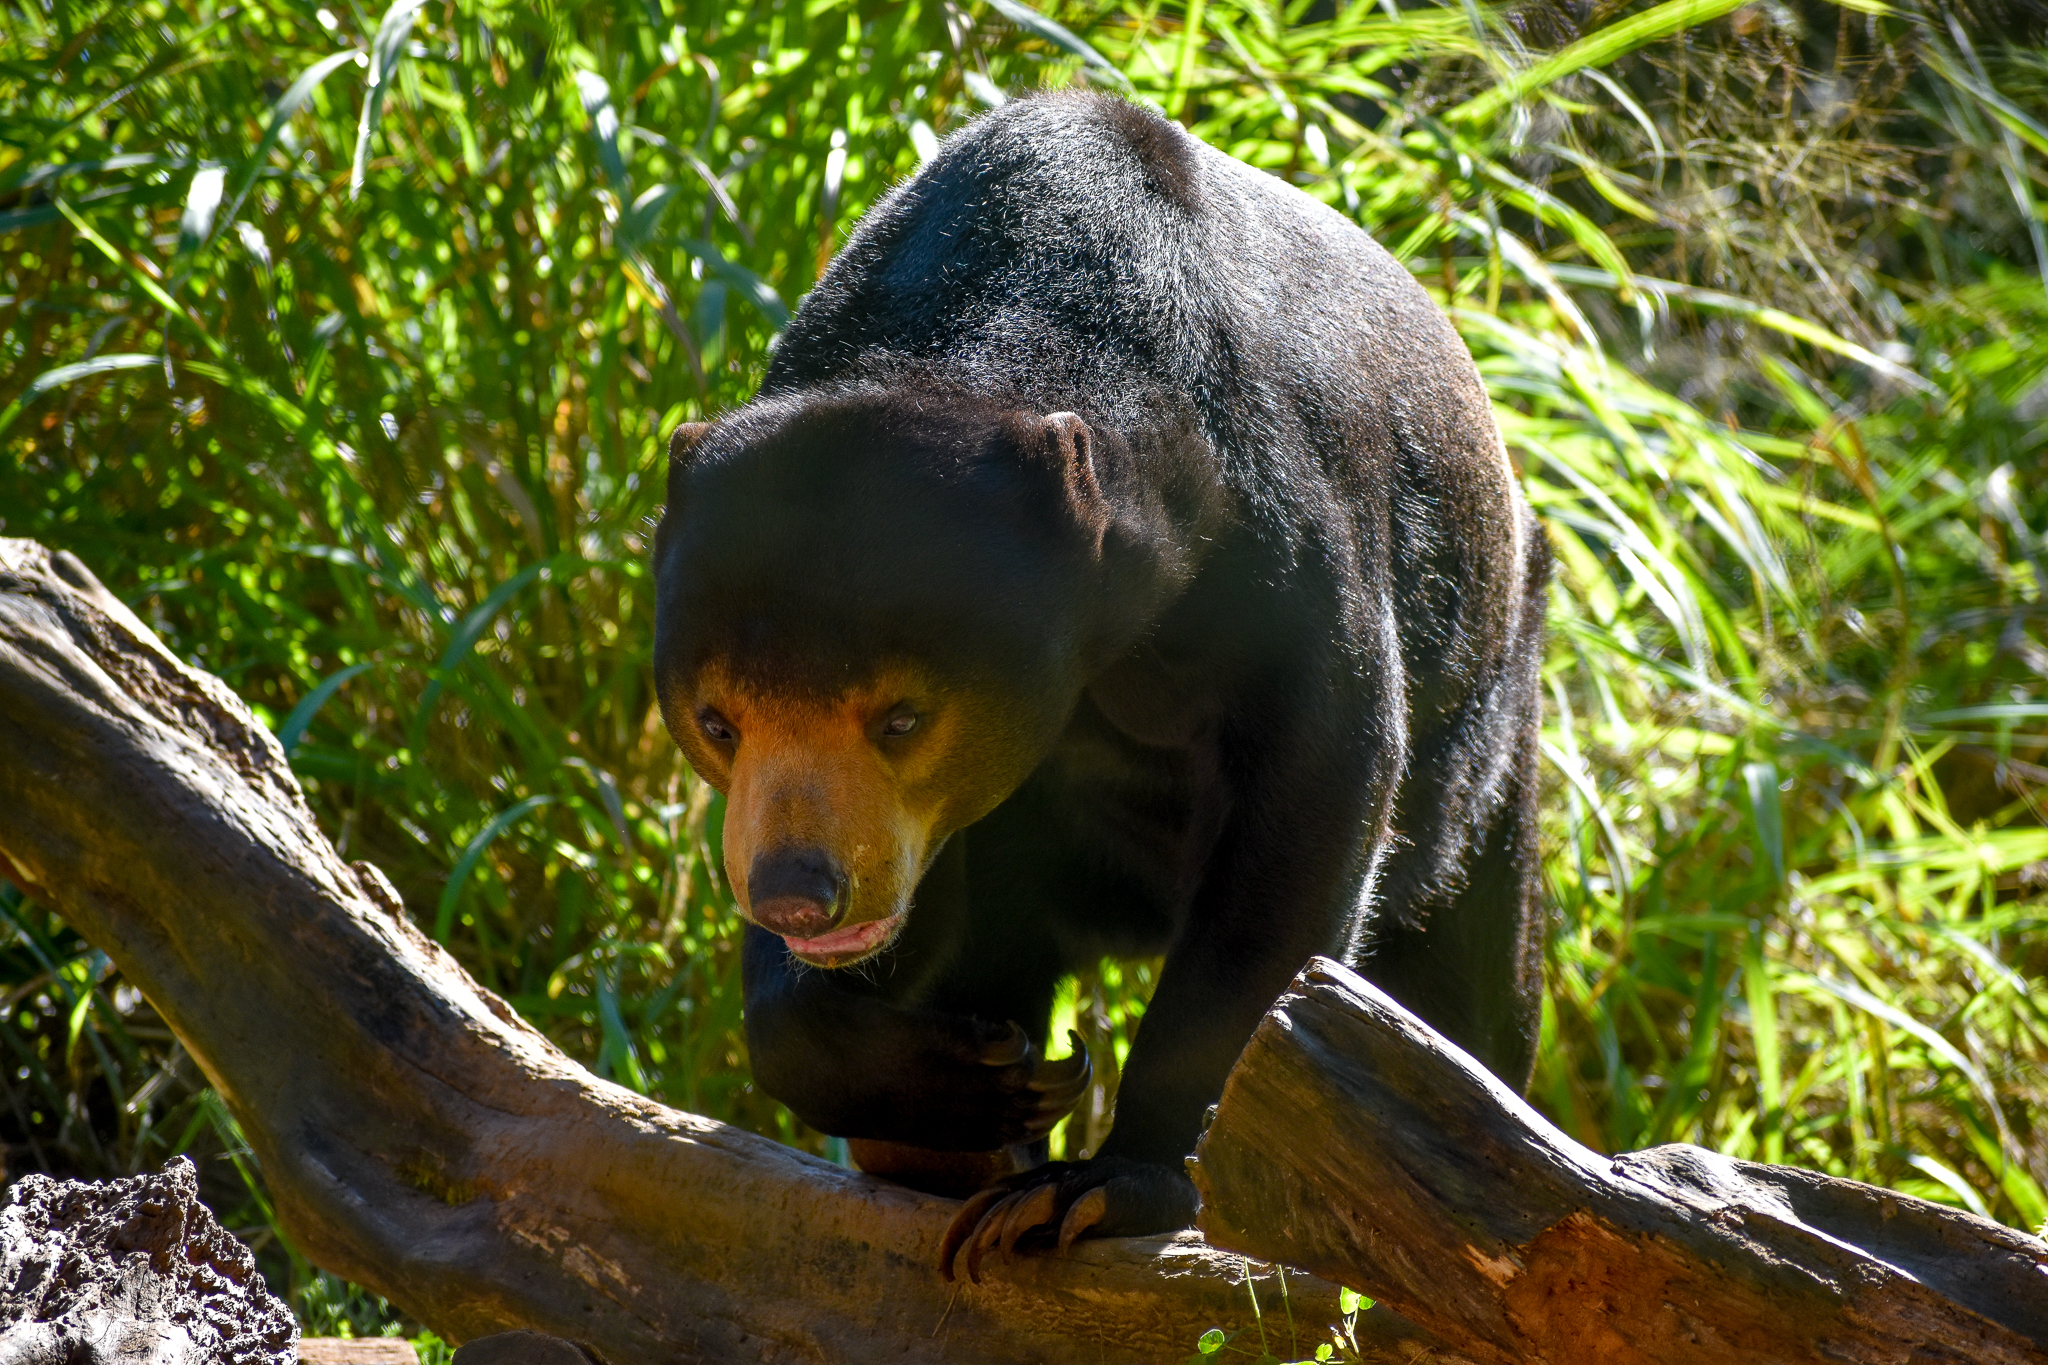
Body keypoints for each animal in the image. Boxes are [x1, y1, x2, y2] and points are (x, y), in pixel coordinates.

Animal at [651, 90, 1549, 1279]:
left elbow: (1307, 827)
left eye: (902, 717)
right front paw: (973, 1087)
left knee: (1473, 982)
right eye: (716, 721)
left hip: (1495, 731)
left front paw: (1101, 1185)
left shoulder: (1281, 549)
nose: (801, 891)